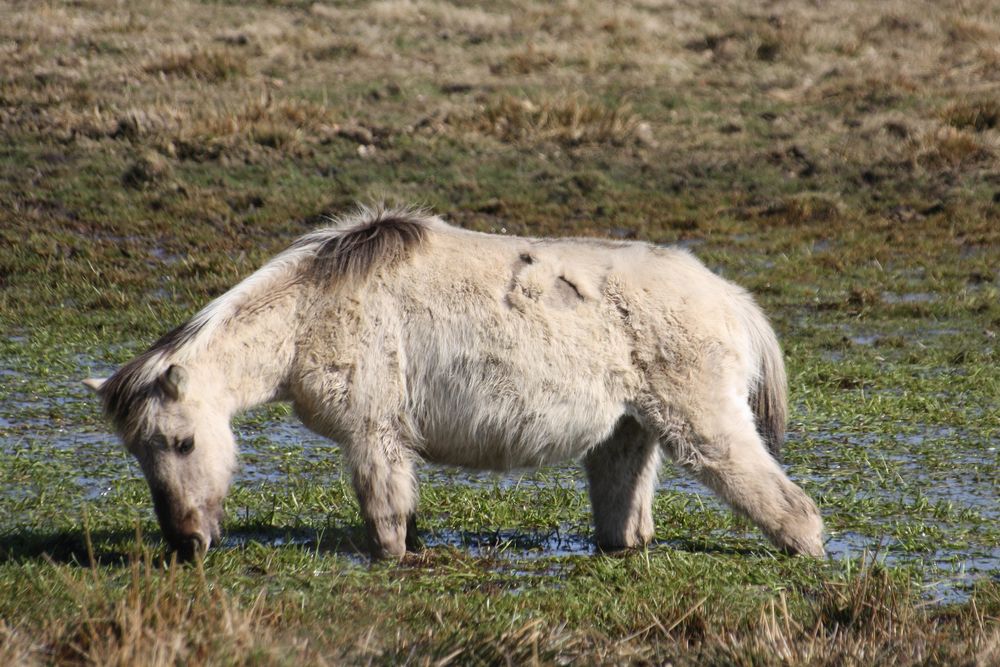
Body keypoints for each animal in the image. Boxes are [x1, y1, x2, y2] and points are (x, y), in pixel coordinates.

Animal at [86, 206, 824, 560]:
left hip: (706, 426)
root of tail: (731, 296)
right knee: (628, 527)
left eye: (182, 442)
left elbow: (385, 519)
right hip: (626, 436)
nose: (186, 542)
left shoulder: (373, 433)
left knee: (791, 507)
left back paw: (811, 551)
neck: (310, 308)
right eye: (139, 452)